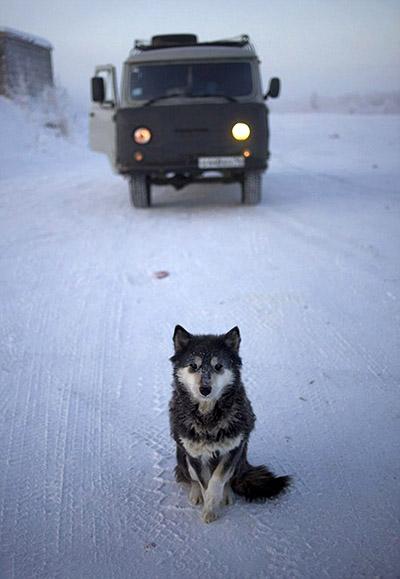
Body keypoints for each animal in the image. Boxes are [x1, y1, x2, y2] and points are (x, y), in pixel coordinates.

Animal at [169, 326, 290, 524]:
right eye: (193, 366)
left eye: (218, 366)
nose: (205, 389)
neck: (208, 418)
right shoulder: (194, 454)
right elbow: (203, 481)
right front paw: (207, 506)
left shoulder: (233, 449)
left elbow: (217, 480)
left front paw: (212, 505)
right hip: (182, 455)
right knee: (190, 477)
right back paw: (195, 493)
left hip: (240, 457)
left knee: (229, 478)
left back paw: (227, 494)